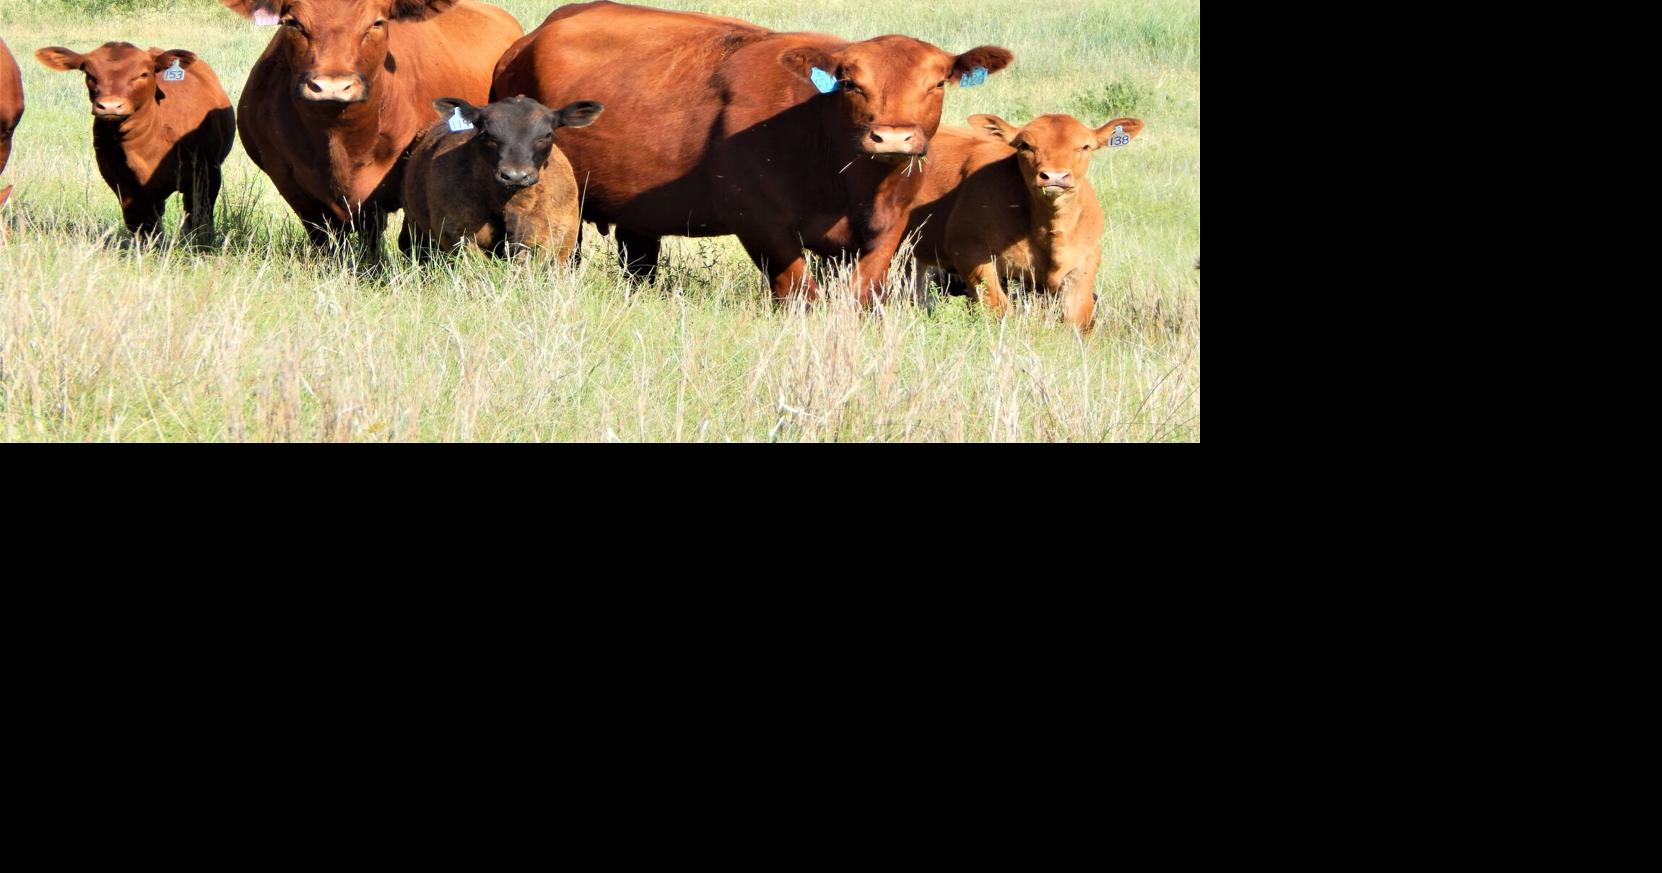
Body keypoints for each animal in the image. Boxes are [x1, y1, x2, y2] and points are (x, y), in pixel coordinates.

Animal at [34, 42, 235, 242]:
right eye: (90, 75)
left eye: (142, 74)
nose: (110, 106)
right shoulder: (120, 181)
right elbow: (141, 223)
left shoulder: (207, 171)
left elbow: (198, 217)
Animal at [217, 0, 522, 258]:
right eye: (293, 23)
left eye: (376, 23)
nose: (331, 86)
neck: (339, 139)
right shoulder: (288, 182)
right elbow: (326, 241)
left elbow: (405, 242)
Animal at [490, 1, 1012, 304]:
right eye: (849, 83)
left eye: (938, 82)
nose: (892, 138)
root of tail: (527, 40)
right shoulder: (761, 225)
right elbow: (801, 294)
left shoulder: (886, 229)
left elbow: (859, 293)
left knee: (639, 260)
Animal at [905, 113, 1144, 330]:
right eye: (1025, 145)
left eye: (1085, 146)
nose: (1054, 177)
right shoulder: (970, 253)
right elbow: (999, 310)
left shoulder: (1084, 263)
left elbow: (1079, 320)